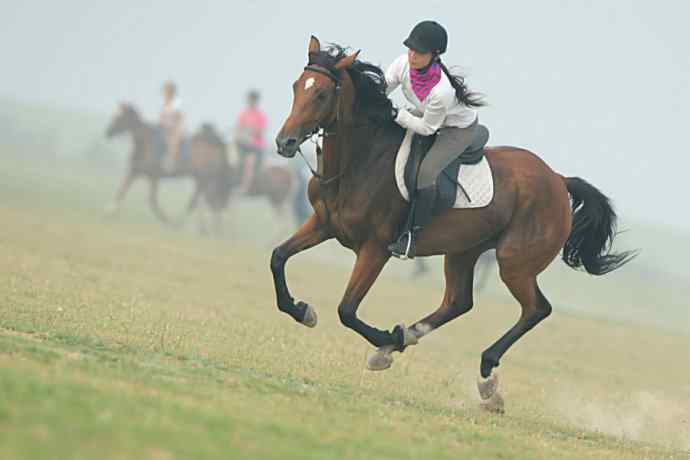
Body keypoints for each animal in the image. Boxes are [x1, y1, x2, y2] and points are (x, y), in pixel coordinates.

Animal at [103, 104, 230, 232]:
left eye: (119, 117)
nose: (108, 132)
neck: (145, 143)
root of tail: (216, 147)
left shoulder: (154, 177)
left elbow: (152, 201)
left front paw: (166, 220)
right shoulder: (135, 171)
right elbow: (122, 190)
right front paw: (109, 211)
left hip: (203, 179)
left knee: (196, 201)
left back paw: (180, 223)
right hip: (200, 180)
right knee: (204, 200)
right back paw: (205, 227)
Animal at [266, 37, 632, 414]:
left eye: (322, 94)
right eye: (297, 86)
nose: (285, 143)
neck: (359, 162)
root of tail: (558, 179)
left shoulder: (376, 249)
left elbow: (346, 310)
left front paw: (386, 335)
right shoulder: (323, 224)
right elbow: (278, 257)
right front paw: (301, 310)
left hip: (514, 263)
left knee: (536, 309)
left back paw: (483, 378)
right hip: (464, 250)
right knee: (459, 302)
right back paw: (402, 343)